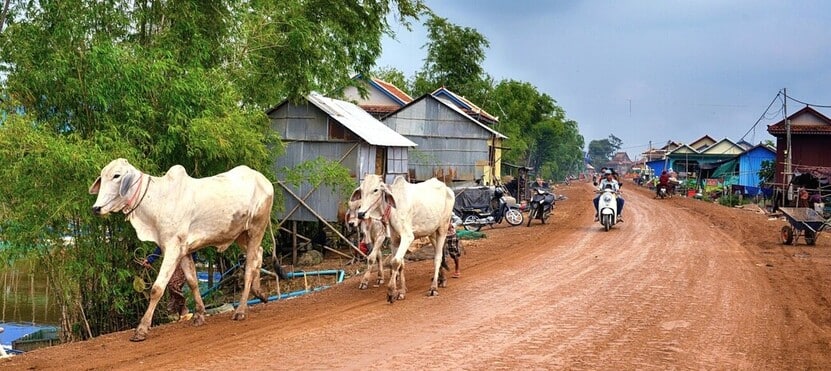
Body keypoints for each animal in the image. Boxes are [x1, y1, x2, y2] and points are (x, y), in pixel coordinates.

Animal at [90, 158, 282, 342]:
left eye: (116, 176)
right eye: (102, 176)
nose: (96, 208)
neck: (157, 200)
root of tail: (264, 180)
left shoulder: (172, 249)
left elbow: (157, 289)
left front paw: (141, 330)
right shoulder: (184, 251)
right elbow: (192, 282)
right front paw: (199, 315)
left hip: (256, 228)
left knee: (249, 266)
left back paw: (241, 310)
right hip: (241, 234)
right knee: (258, 254)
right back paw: (260, 293)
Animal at [352, 174, 456, 302]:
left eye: (375, 190)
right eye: (361, 190)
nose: (361, 214)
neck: (392, 209)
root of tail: (447, 188)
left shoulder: (407, 236)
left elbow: (395, 262)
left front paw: (391, 292)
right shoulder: (395, 239)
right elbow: (400, 264)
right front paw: (401, 292)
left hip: (443, 228)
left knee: (437, 257)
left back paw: (433, 288)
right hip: (432, 232)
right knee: (439, 253)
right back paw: (442, 279)